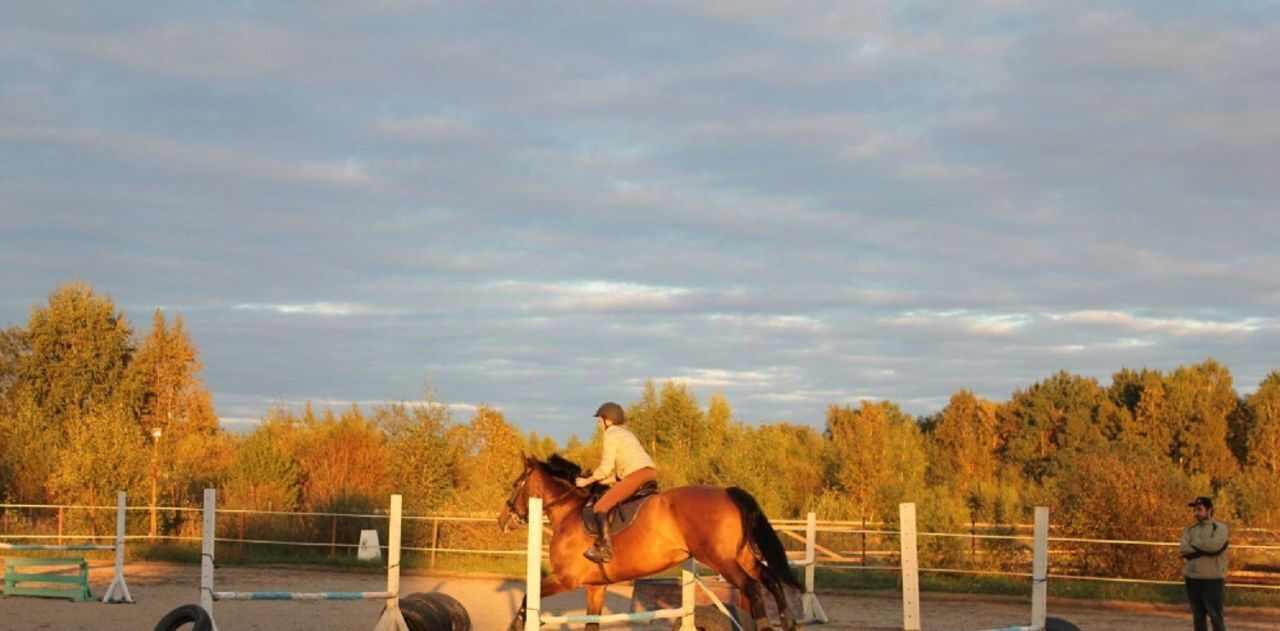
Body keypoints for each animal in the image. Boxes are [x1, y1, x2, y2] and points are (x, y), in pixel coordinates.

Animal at [491, 455, 798, 627]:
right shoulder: (595, 588)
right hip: (742, 555)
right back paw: (788, 622)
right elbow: (591, 623)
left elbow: (526, 598)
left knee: (754, 587)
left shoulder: (566, 579)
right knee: (771, 580)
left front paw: (517, 623)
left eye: (516, 484)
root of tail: (727, 493)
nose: (502, 519)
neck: (569, 511)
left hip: (721, 559)